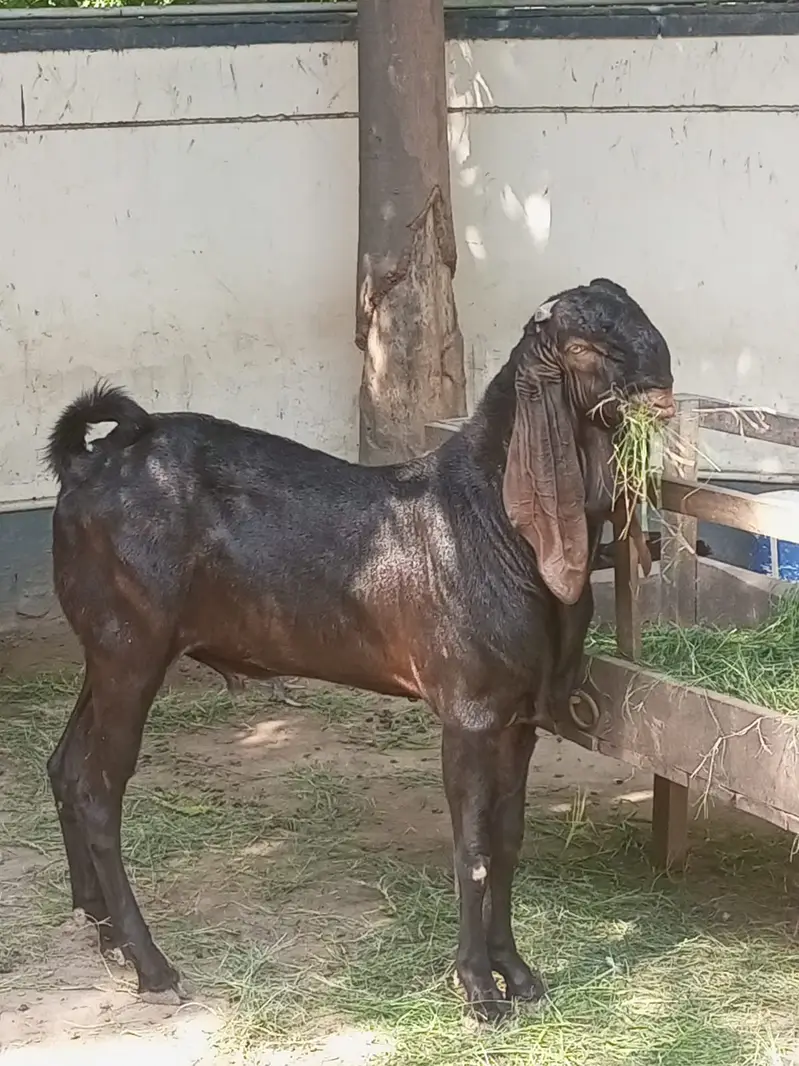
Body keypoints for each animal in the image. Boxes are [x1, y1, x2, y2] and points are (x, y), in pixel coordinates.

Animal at [45, 277, 674, 1022]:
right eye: (583, 344)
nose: (662, 380)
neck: (493, 521)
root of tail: (87, 464)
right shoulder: (469, 713)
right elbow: (472, 849)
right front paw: (477, 990)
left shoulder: (520, 717)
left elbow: (508, 840)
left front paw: (518, 974)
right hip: (130, 648)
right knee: (97, 788)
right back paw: (151, 965)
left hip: (107, 651)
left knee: (64, 766)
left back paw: (103, 933)